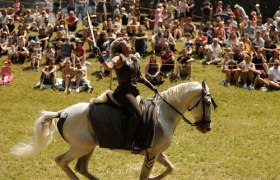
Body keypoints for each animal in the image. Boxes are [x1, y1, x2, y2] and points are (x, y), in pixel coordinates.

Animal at [10, 81, 217, 179]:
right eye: (207, 103)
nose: (207, 127)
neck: (163, 112)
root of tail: (63, 113)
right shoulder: (151, 154)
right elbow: (145, 176)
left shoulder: (156, 152)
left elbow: (170, 169)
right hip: (81, 147)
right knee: (62, 161)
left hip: (88, 147)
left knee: (81, 167)